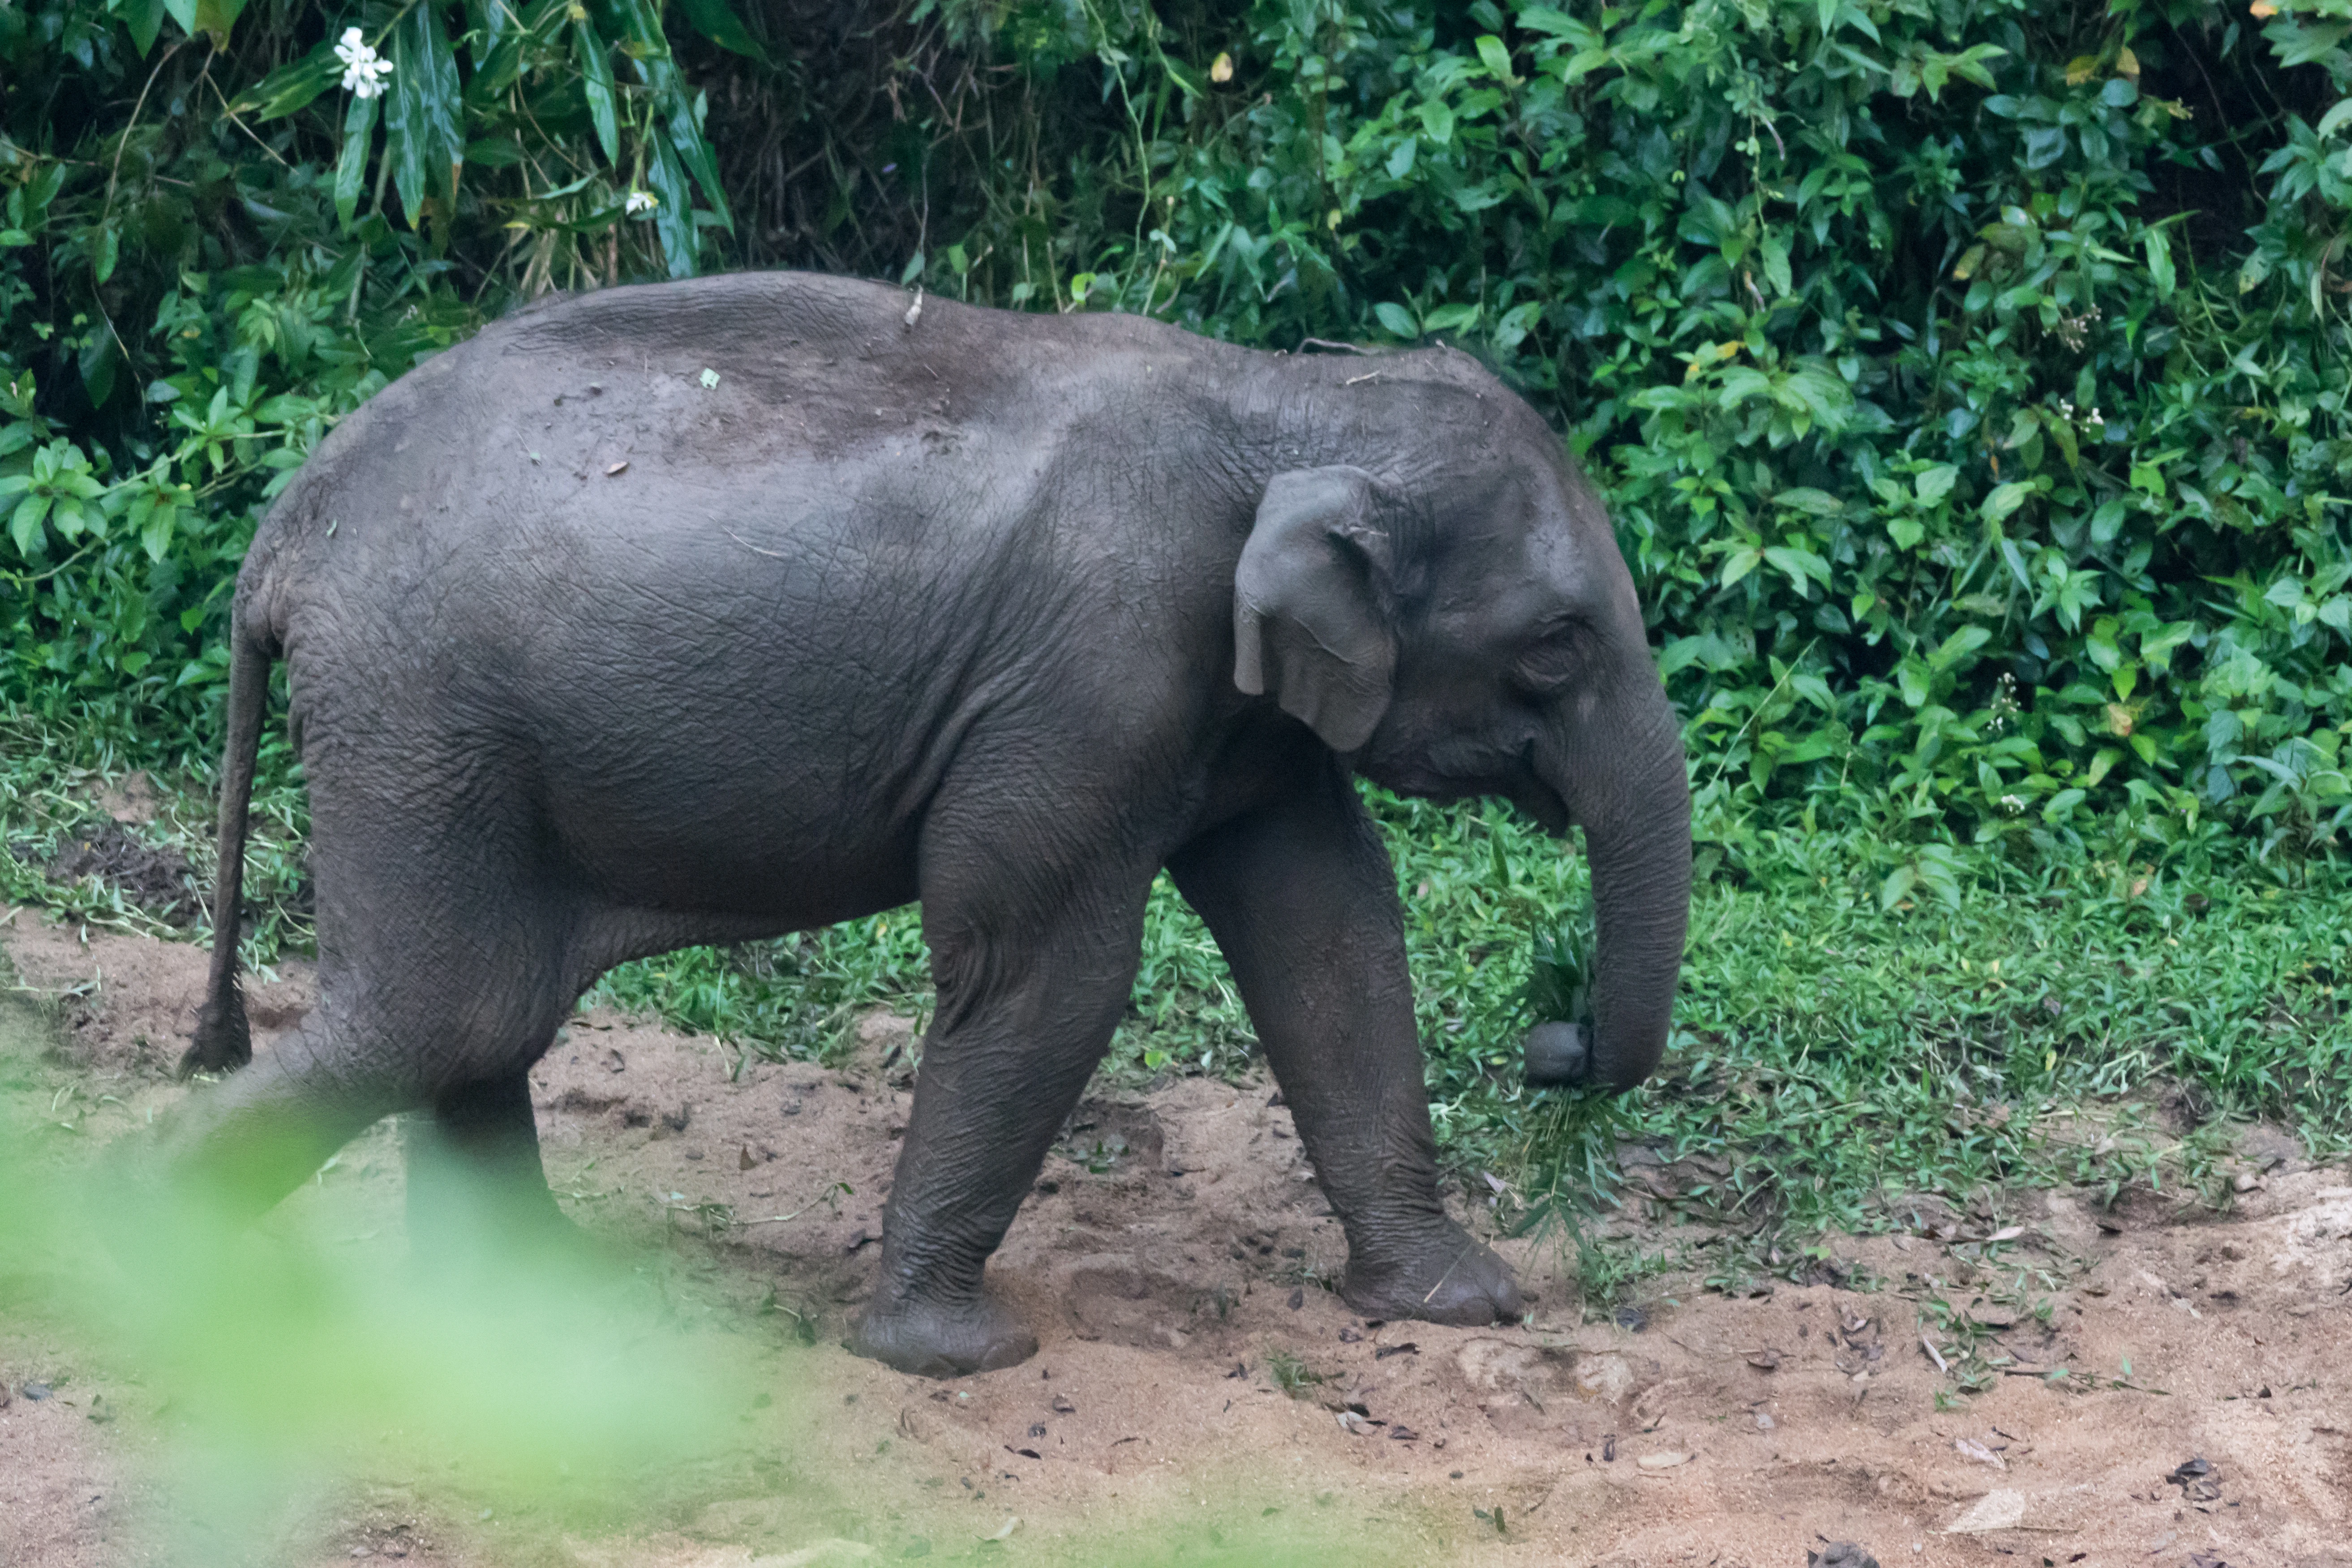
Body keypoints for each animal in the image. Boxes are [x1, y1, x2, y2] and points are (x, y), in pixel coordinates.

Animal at [160, 270, 1691, 1378]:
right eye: (1556, 646)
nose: (1553, 1041)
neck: (1283, 394)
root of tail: (282, 535)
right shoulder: (1092, 672)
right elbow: (1045, 969)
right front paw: (955, 1355)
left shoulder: (1233, 711)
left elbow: (1330, 929)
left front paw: (1459, 1301)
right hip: (419, 721)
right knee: (443, 1009)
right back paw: (143, 1258)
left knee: (478, 1018)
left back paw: (532, 1304)